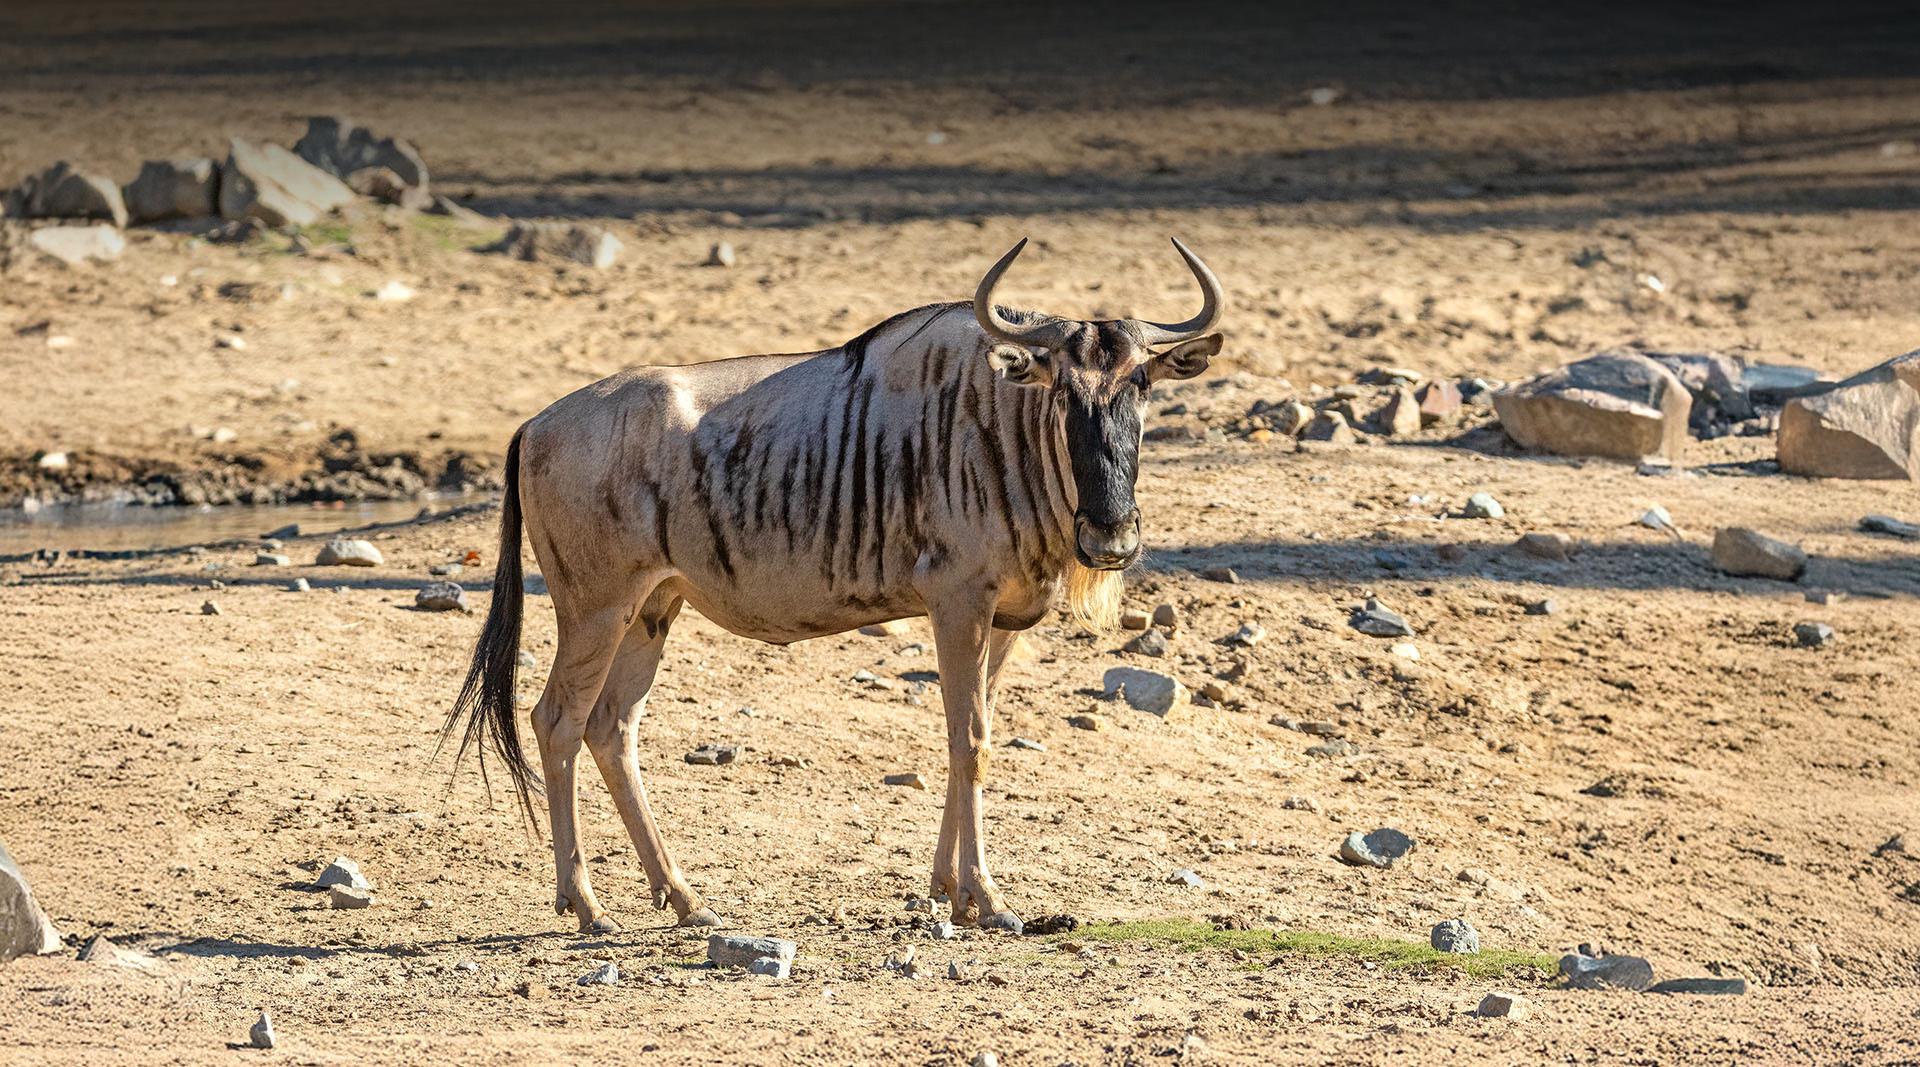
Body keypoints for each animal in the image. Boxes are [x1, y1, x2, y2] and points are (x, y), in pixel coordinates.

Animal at [446, 239, 1224, 934]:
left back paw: (686, 899)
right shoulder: (958, 603)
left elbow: (970, 738)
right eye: (1063, 391)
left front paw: (949, 894)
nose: (1111, 534)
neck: (1002, 425)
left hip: (652, 609)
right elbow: (969, 741)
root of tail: (535, 424)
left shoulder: (1001, 620)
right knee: (557, 721)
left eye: (1142, 385)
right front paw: (989, 900)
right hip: (595, 610)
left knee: (612, 728)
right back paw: (587, 906)